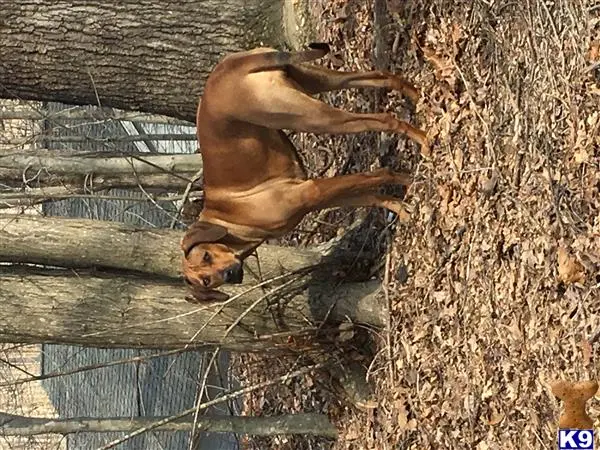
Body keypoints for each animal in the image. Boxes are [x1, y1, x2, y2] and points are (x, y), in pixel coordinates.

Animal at [182, 44, 426, 300]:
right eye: (206, 281)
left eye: (206, 255)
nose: (229, 274)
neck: (231, 222)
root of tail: (230, 68)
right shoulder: (317, 199)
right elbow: (374, 196)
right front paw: (404, 209)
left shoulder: (311, 192)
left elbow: (379, 175)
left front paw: (408, 181)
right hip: (313, 80)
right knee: (383, 77)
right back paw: (417, 96)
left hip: (309, 116)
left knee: (385, 120)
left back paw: (426, 141)